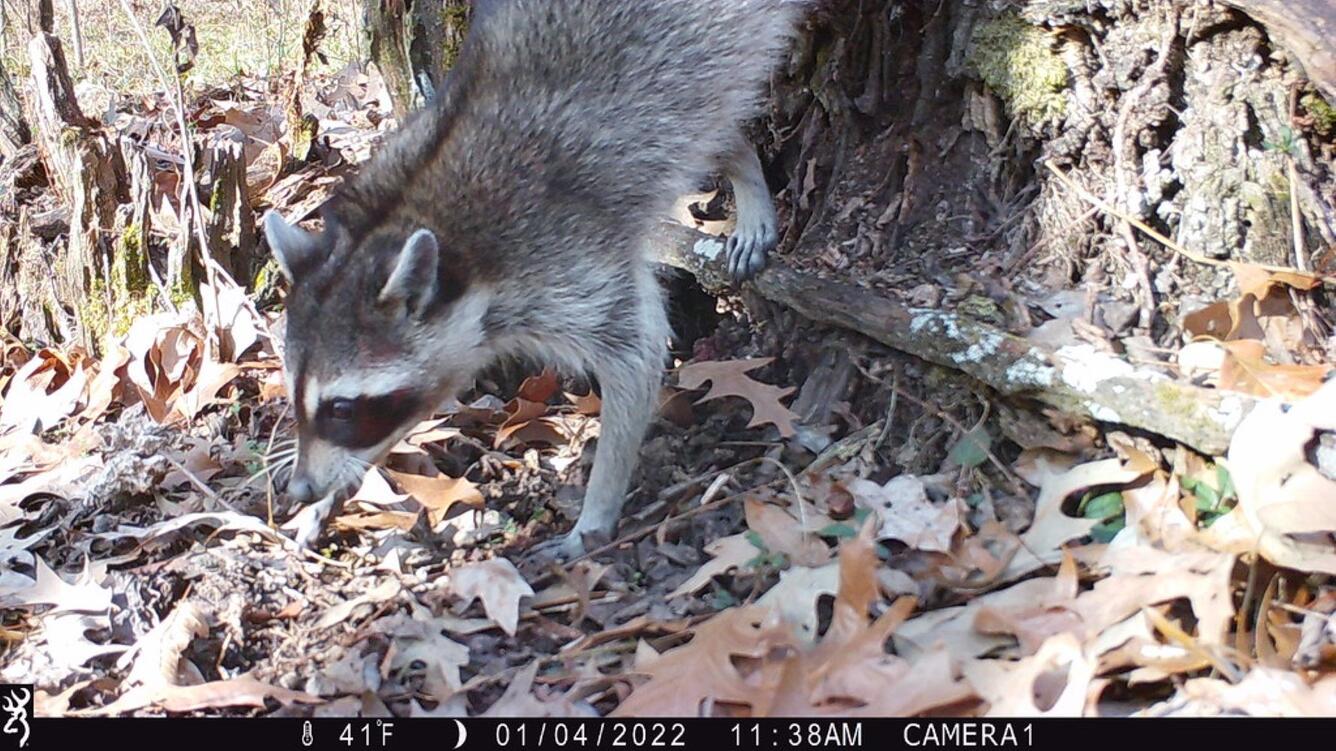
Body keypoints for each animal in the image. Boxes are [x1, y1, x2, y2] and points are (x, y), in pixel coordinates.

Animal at [262, 0, 806, 557]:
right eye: (297, 399)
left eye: (341, 409)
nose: (300, 488)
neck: (403, 213)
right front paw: (331, 493)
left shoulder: (566, 258)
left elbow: (638, 351)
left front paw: (595, 510)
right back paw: (741, 160)